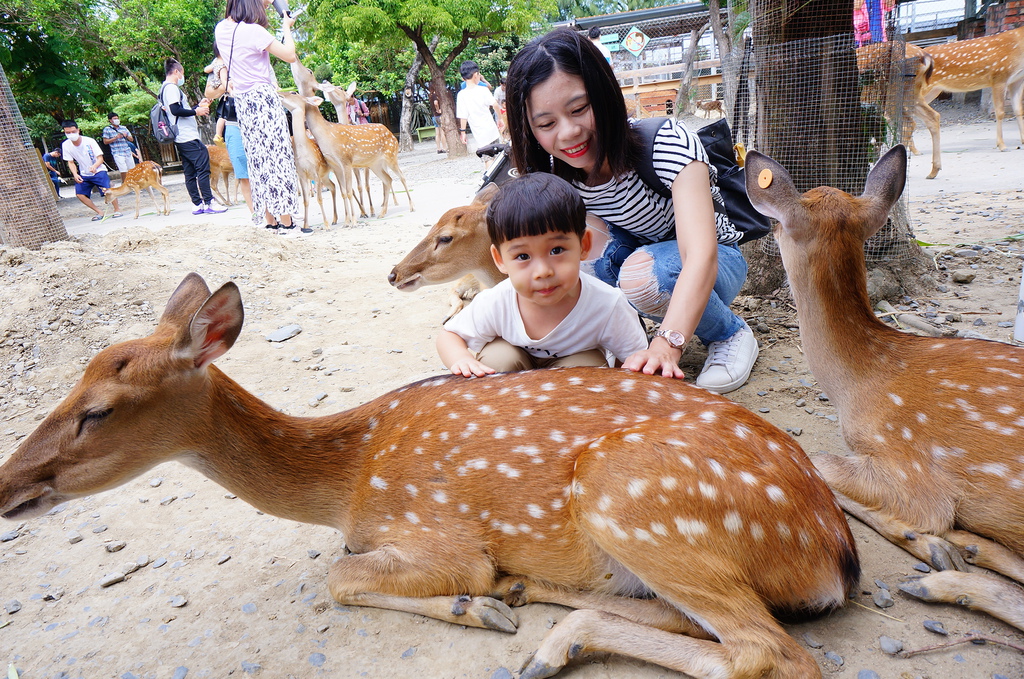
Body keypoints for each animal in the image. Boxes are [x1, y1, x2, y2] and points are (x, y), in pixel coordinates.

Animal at [0, 270, 860, 679]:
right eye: (73, 382)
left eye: (98, 409)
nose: (8, 485)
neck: (349, 477)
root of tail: (837, 555)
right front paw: (492, 601)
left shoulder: (439, 532)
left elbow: (339, 577)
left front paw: (469, 605)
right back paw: (537, 605)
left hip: (634, 494)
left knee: (768, 650)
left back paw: (539, 638)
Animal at [745, 146, 1024, 634]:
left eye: (776, 225)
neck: (859, 383)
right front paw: (943, 545)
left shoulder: (912, 467)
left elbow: (819, 462)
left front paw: (927, 540)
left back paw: (939, 576)